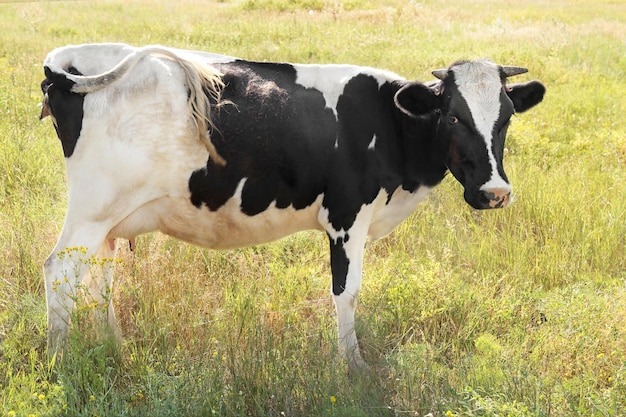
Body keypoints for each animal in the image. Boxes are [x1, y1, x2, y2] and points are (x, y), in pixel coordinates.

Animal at [41, 42, 544, 368]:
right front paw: (353, 366)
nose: (495, 192)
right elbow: (347, 292)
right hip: (92, 208)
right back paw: (59, 362)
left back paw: (115, 346)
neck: (388, 122)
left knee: (99, 279)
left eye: (505, 118)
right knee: (59, 270)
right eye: (453, 116)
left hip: (110, 218)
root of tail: (69, 59)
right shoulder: (346, 216)